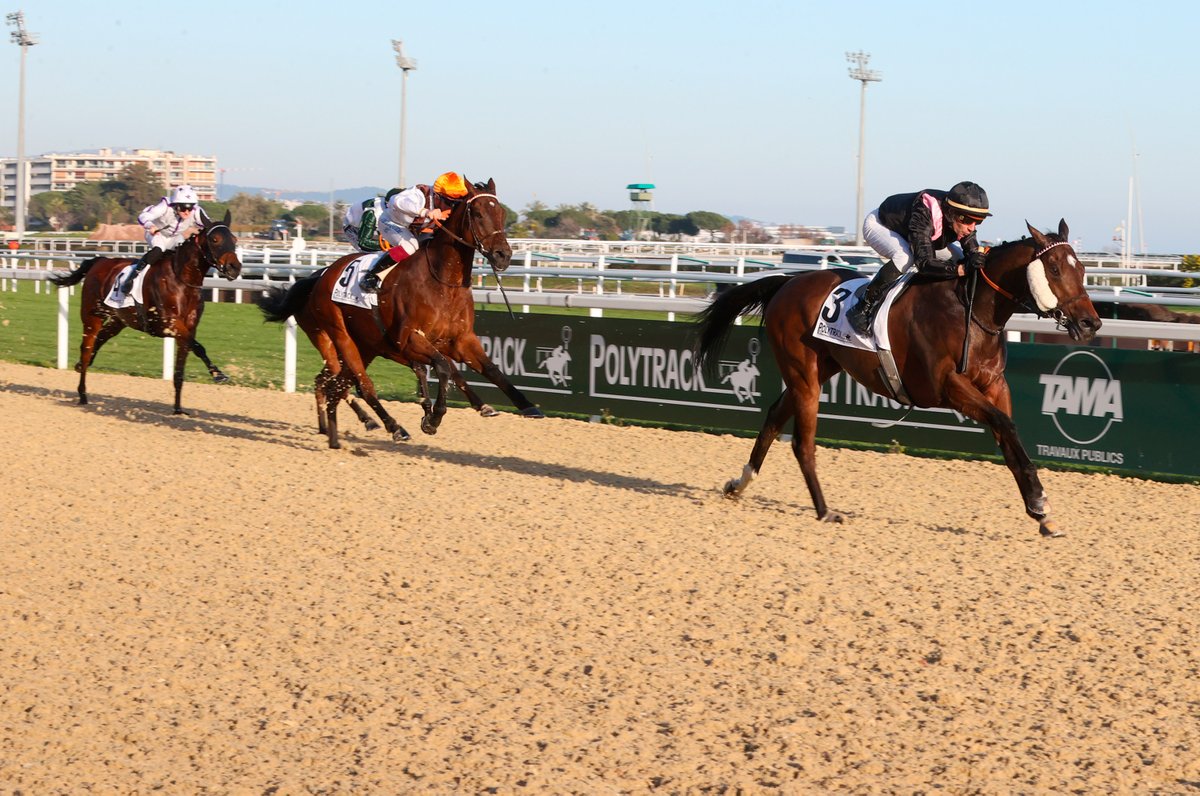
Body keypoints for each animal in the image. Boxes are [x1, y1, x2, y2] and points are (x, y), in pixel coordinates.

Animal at [49, 211, 241, 417]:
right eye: (215, 239)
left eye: (234, 239)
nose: (235, 267)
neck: (182, 280)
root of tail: (100, 260)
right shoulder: (170, 323)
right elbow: (198, 347)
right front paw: (217, 374)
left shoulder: (189, 327)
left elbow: (181, 367)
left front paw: (178, 408)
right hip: (92, 316)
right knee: (86, 347)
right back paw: (83, 393)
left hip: (118, 320)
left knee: (99, 340)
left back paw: (81, 366)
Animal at [260, 177, 547, 449]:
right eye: (477, 214)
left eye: (501, 213)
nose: (503, 255)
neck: (443, 282)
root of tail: (321, 276)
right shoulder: (409, 340)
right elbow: (443, 368)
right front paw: (433, 418)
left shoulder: (462, 339)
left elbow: (490, 370)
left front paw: (527, 406)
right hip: (340, 337)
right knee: (362, 386)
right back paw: (393, 427)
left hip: (365, 346)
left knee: (335, 386)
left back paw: (335, 436)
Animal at [700, 220, 1099, 537]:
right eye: (1055, 269)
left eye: (1081, 270)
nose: (1090, 323)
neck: (973, 311)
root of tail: (787, 282)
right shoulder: (948, 386)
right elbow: (1006, 425)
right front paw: (1040, 500)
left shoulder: (995, 386)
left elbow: (1009, 438)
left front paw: (1040, 511)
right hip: (803, 374)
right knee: (802, 442)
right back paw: (824, 510)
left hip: (818, 368)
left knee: (773, 417)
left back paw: (739, 484)